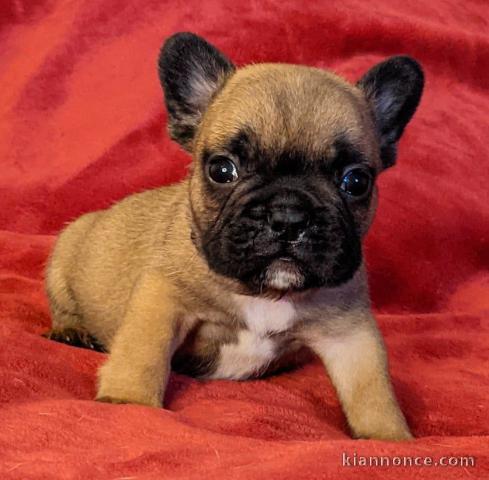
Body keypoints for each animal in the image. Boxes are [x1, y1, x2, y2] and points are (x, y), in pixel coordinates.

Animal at [43, 31, 422, 440]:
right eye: (222, 170)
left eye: (356, 181)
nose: (288, 215)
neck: (266, 292)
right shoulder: (163, 298)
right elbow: (143, 351)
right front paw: (128, 401)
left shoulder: (350, 331)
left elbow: (372, 388)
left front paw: (388, 437)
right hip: (66, 252)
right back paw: (72, 330)